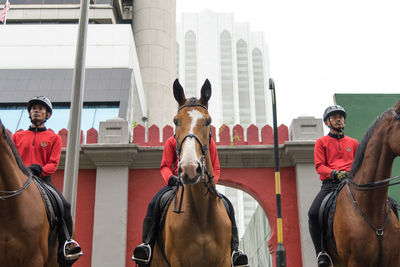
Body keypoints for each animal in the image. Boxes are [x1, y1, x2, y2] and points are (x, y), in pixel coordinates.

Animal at [150, 79, 231, 267]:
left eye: (208, 121)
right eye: (176, 121)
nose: (190, 168)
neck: (202, 215)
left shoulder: (224, 261)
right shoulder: (178, 261)